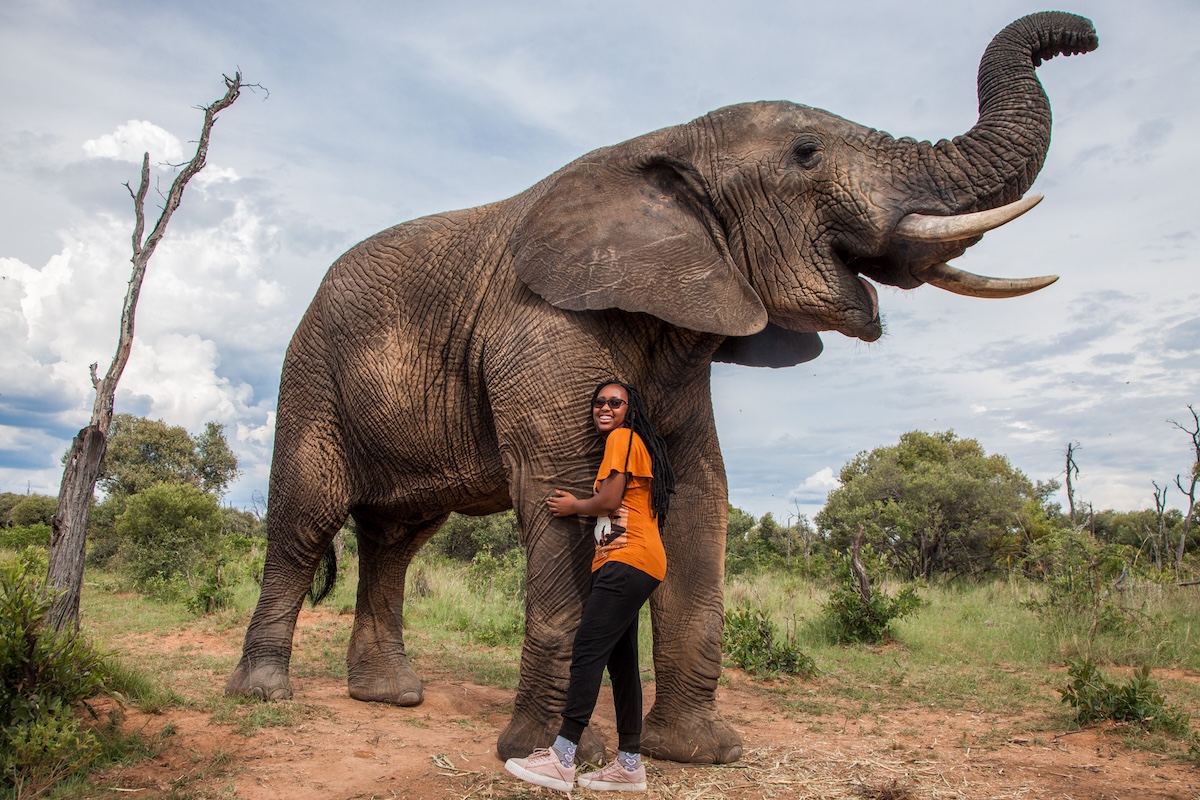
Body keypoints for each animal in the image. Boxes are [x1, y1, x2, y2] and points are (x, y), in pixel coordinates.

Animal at [227, 11, 1098, 765]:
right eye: (806, 153)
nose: (1082, 37)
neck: (666, 139)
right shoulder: (540, 329)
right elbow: (565, 488)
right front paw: (548, 755)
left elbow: (698, 497)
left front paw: (699, 754)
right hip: (311, 372)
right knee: (306, 522)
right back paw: (264, 695)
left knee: (396, 540)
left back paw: (389, 697)